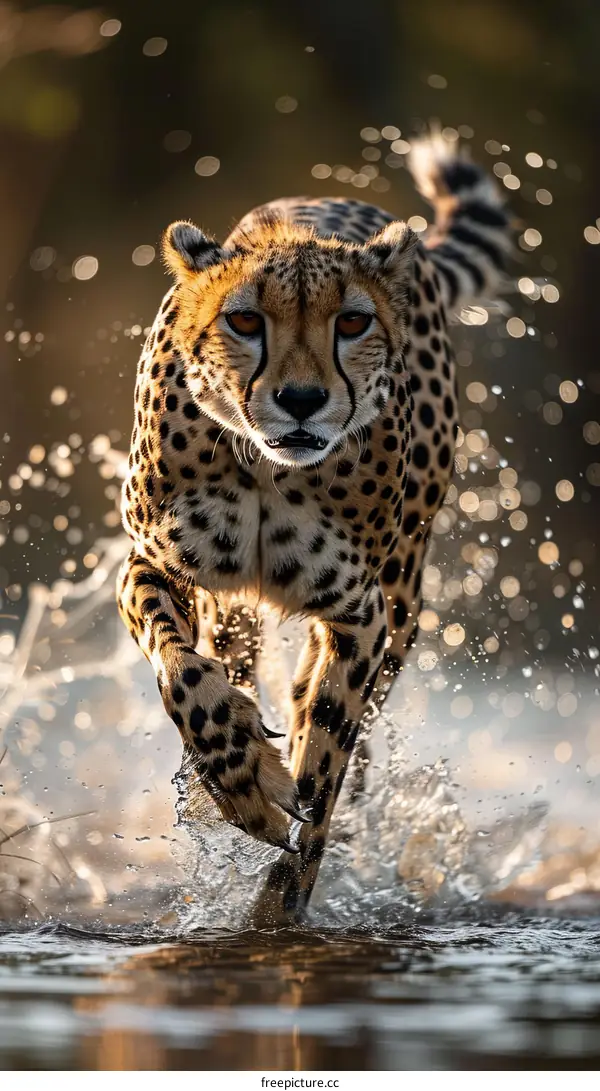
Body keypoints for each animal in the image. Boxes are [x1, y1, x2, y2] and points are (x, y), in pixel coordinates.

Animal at [117, 136, 512, 922]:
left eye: (351, 323)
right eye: (244, 321)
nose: (302, 400)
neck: (267, 470)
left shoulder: (361, 616)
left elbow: (325, 757)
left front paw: (282, 903)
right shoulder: (152, 562)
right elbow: (182, 670)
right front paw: (237, 776)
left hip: (405, 598)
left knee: (326, 713)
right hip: (237, 611)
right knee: (232, 657)